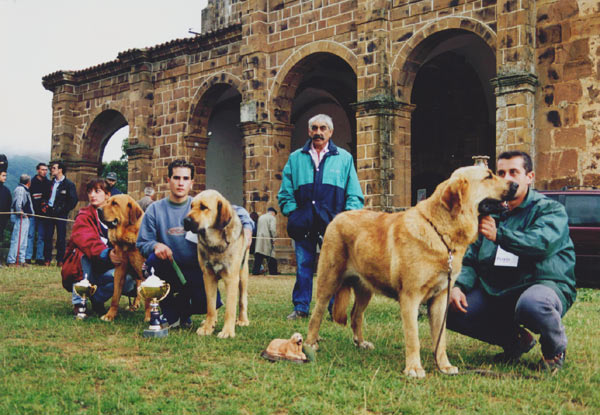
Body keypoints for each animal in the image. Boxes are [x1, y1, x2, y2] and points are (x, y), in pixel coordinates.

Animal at [97, 193, 148, 324]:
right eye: (107, 202)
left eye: (115, 203)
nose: (98, 209)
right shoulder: (120, 270)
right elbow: (115, 296)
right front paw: (110, 315)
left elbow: (149, 300)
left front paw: (149, 318)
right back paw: (134, 305)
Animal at [183, 190, 248, 340]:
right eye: (191, 206)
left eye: (203, 207)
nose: (185, 221)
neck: (215, 244)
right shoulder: (208, 277)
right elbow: (211, 306)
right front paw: (208, 327)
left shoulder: (231, 279)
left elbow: (230, 309)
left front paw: (228, 331)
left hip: (242, 276)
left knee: (242, 300)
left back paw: (243, 320)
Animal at [308, 165, 516, 376]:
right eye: (489, 176)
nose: (515, 185)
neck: (441, 232)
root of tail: (337, 217)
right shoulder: (410, 297)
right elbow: (413, 337)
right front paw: (414, 368)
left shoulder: (441, 298)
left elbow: (440, 340)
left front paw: (444, 365)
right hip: (328, 281)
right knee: (316, 314)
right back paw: (310, 344)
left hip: (365, 288)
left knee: (356, 315)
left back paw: (360, 343)